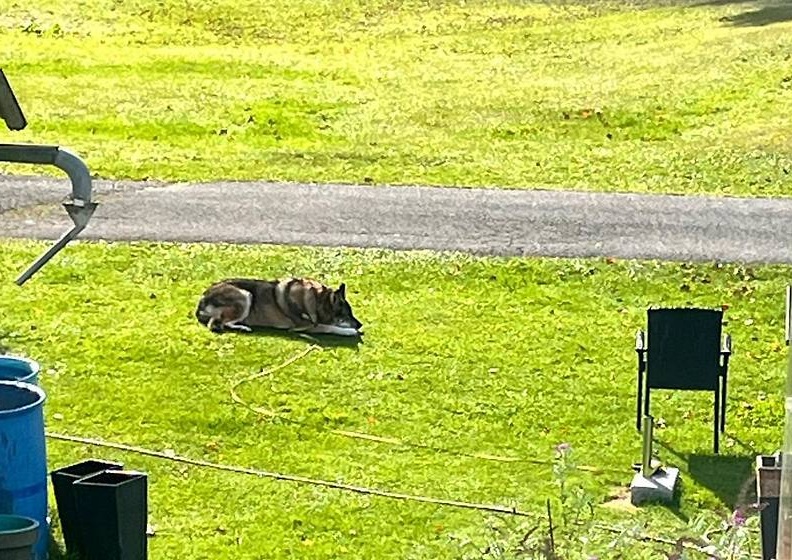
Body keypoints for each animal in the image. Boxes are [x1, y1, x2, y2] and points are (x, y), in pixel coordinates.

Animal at [195, 277, 363, 336]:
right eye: (347, 314)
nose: (360, 324)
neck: (316, 300)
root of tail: (202, 299)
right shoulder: (306, 326)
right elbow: (329, 327)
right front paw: (350, 331)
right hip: (245, 295)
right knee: (217, 322)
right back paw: (243, 328)